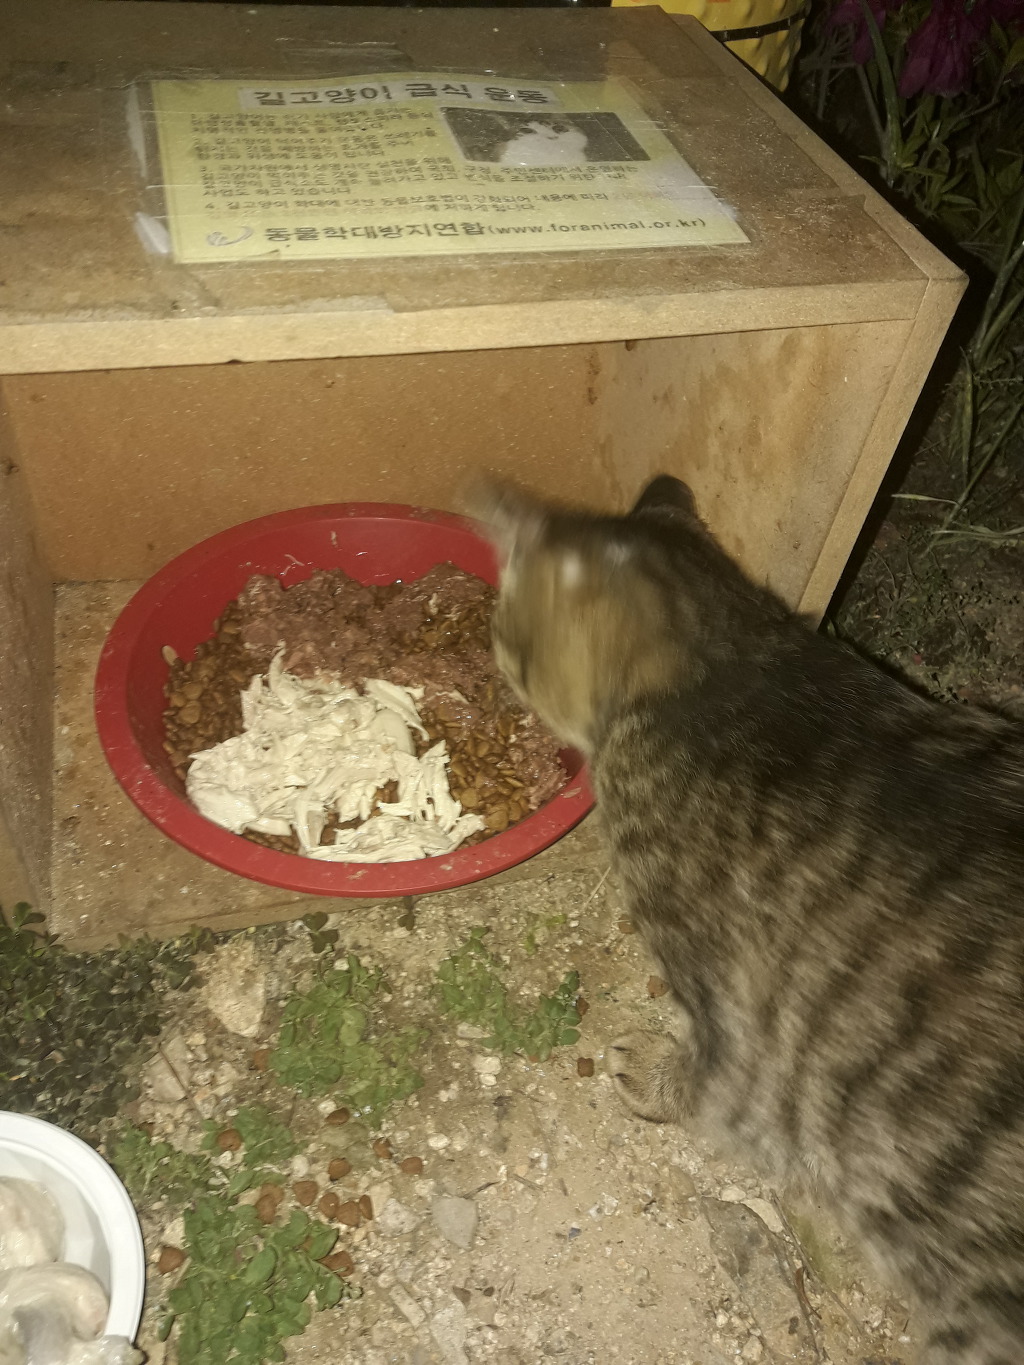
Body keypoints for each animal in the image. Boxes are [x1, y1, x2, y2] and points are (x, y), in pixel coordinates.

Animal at [476, 474, 1024, 1365]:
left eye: (501, 638)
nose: (494, 660)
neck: (736, 660)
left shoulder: (734, 1020)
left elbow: (699, 1080)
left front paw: (649, 1074)